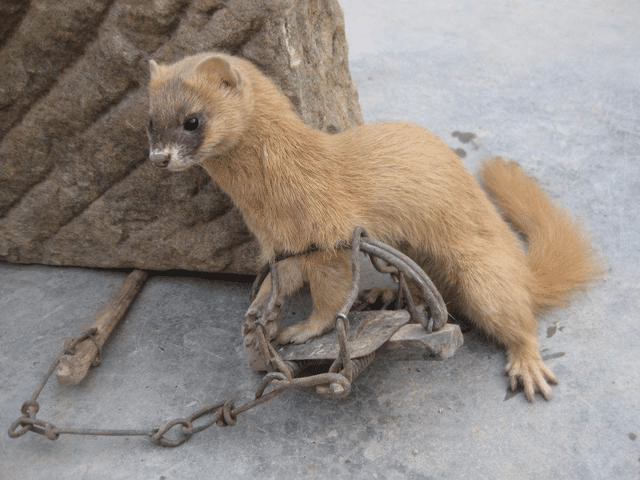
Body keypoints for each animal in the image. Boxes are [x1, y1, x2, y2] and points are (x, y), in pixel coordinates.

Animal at [145, 52, 600, 402]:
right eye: (149, 120)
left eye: (192, 120)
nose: (159, 158)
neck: (268, 202)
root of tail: (522, 268)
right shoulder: (282, 243)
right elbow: (280, 280)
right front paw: (259, 317)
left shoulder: (332, 237)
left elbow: (328, 296)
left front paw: (301, 331)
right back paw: (382, 294)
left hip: (483, 270)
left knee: (515, 316)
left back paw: (528, 367)